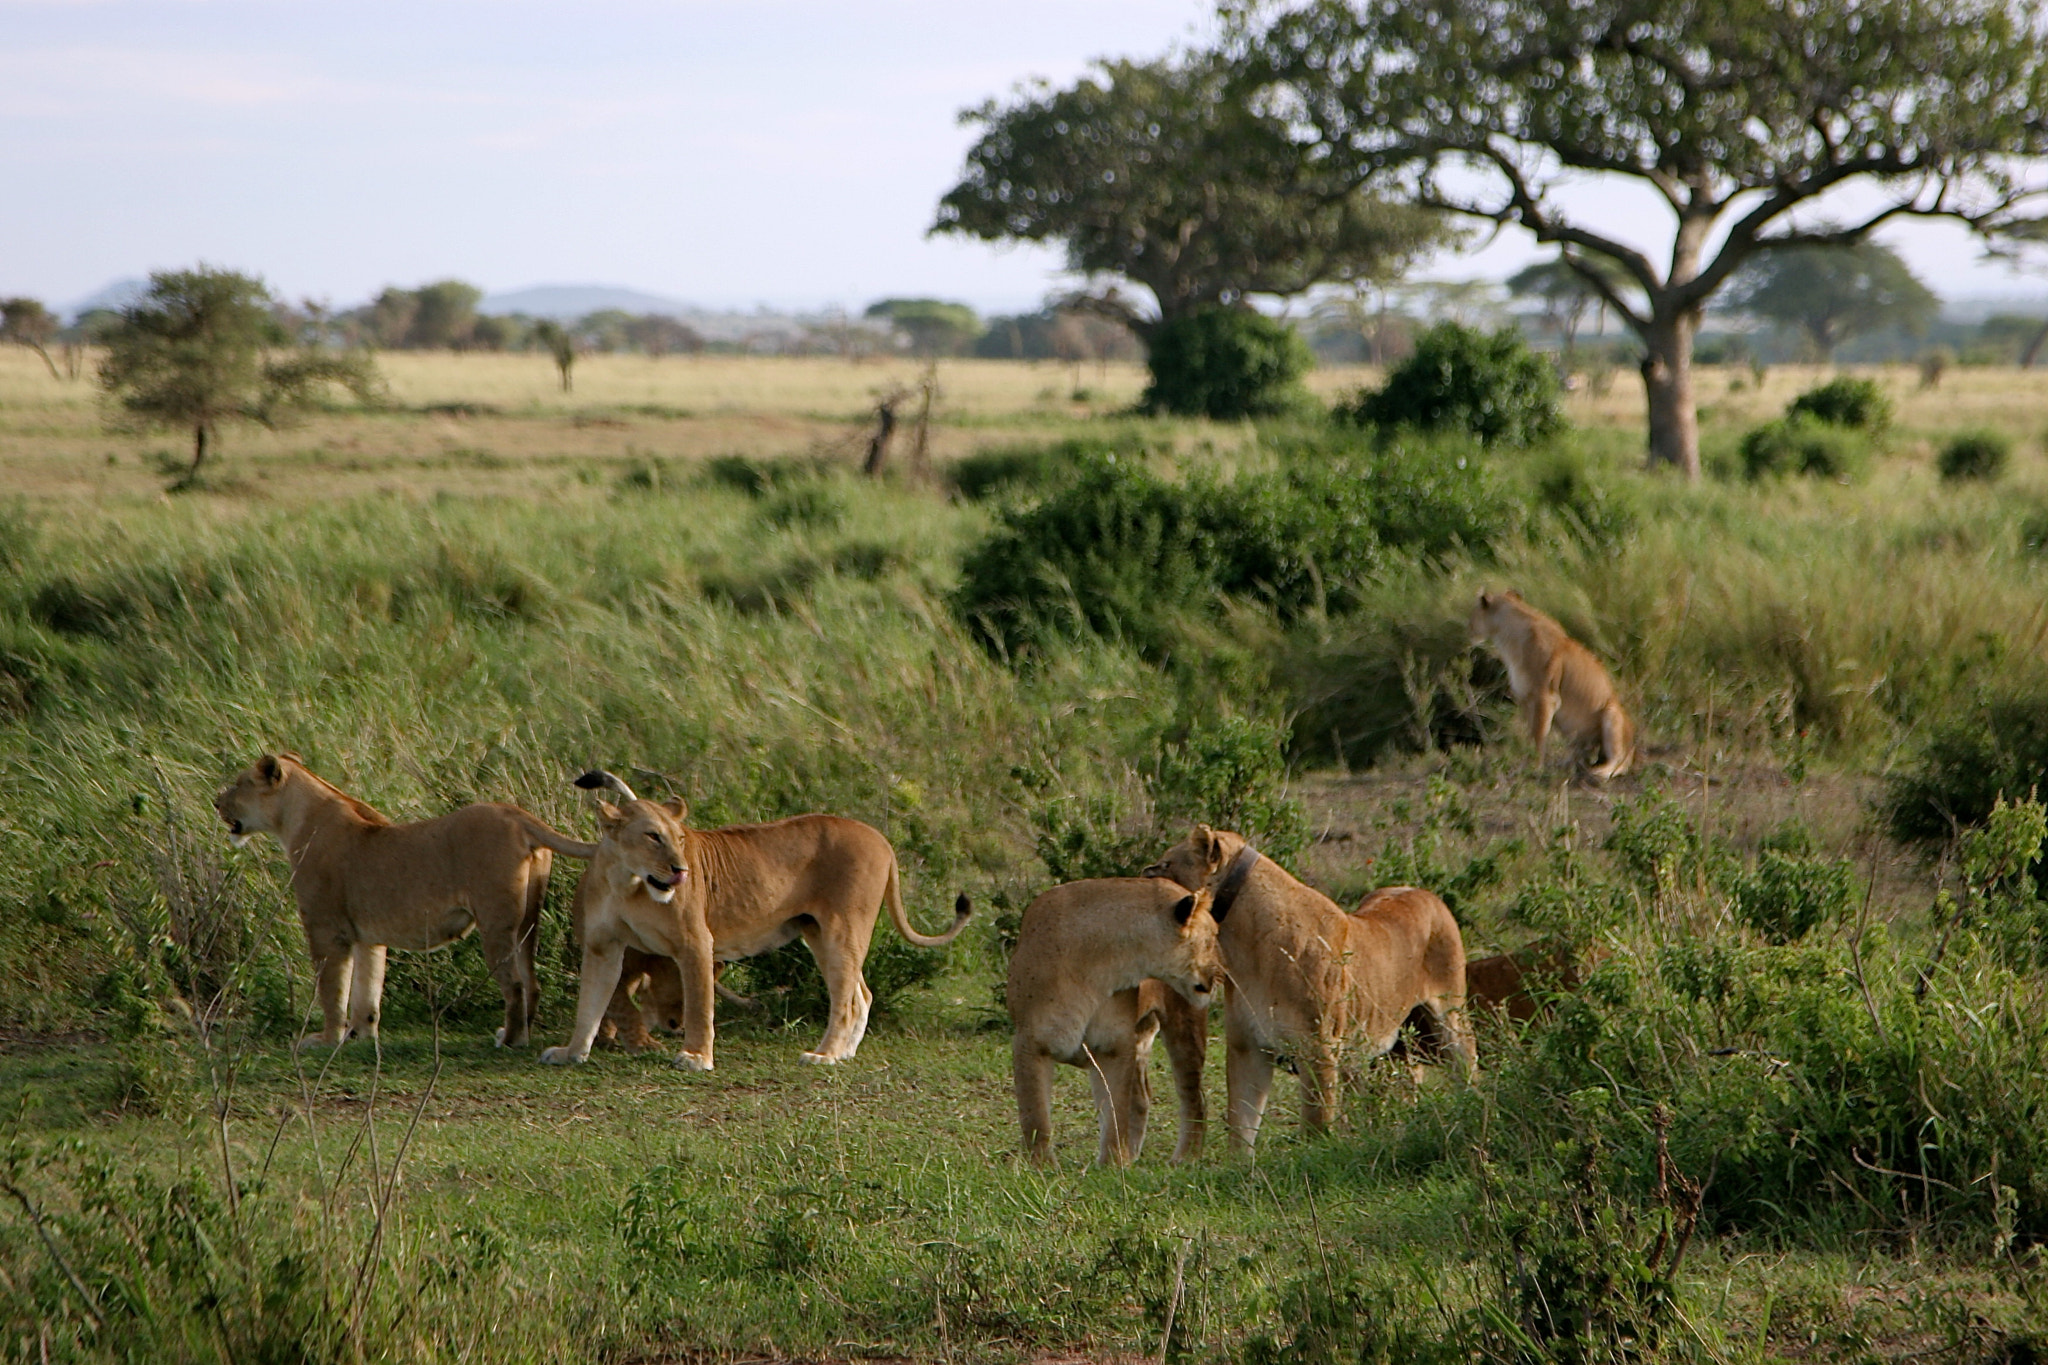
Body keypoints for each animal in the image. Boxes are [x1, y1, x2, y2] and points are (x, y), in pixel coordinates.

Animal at [216, 753, 598, 1055]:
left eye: (238, 784)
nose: (215, 803)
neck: (297, 818)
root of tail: (517, 814)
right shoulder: (368, 937)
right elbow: (367, 990)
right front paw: (360, 1036)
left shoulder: (326, 929)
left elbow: (332, 989)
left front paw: (326, 1040)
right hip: (527, 922)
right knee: (532, 981)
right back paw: (520, 1033)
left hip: (496, 924)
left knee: (515, 984)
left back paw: (511, 1040)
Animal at [536, 773, 966, 1072]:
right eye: (652, 836)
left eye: (680, 838)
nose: (682, 870)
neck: (627, 882)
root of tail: (881, 839)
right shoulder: (602, 947)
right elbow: (591, 1003)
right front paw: (571, 1052)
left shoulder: (697, 942)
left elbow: (699, 1005)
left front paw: (697, 1057)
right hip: (819, 934)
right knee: (862, 994)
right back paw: (843, 1054)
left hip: (843, 929)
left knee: (845, 1001)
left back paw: (823, 1057)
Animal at [1003, 888, 1220, 1162]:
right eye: (1212, 937)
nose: (1222, 973)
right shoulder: (1030, 1044)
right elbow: (1035, 1118)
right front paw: (1042, 1167)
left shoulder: (1114, 1047)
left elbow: (1115, 1114)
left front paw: (1113, 1164)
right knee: (1142, 1098)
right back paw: (1135, 1155)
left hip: (1183, 1030)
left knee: (1194, 1098)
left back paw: (1184, 1159)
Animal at [1138, 826, 1474, 1146]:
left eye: (1166, 864)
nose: (1143, 873)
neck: (1242, 942)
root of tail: (1424, 892)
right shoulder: (1248, 1047)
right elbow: (1241, 1127)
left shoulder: (1317, 1051)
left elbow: (1316, 1125)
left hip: (1451, 1016)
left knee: (1466, 1059)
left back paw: (1468, 1105)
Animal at [1474, 593, 1630, 785]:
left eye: (1472, 613)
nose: (1468, 628)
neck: (1508, 638)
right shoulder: (1526, 698)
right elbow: (1532, 734)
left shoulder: (1546, 697)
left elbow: (1539, 734)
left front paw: (1534, 767)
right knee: (1581, 751)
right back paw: (1569, 765)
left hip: (1612, 712)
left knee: (1619, 761)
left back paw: (1598, 773)